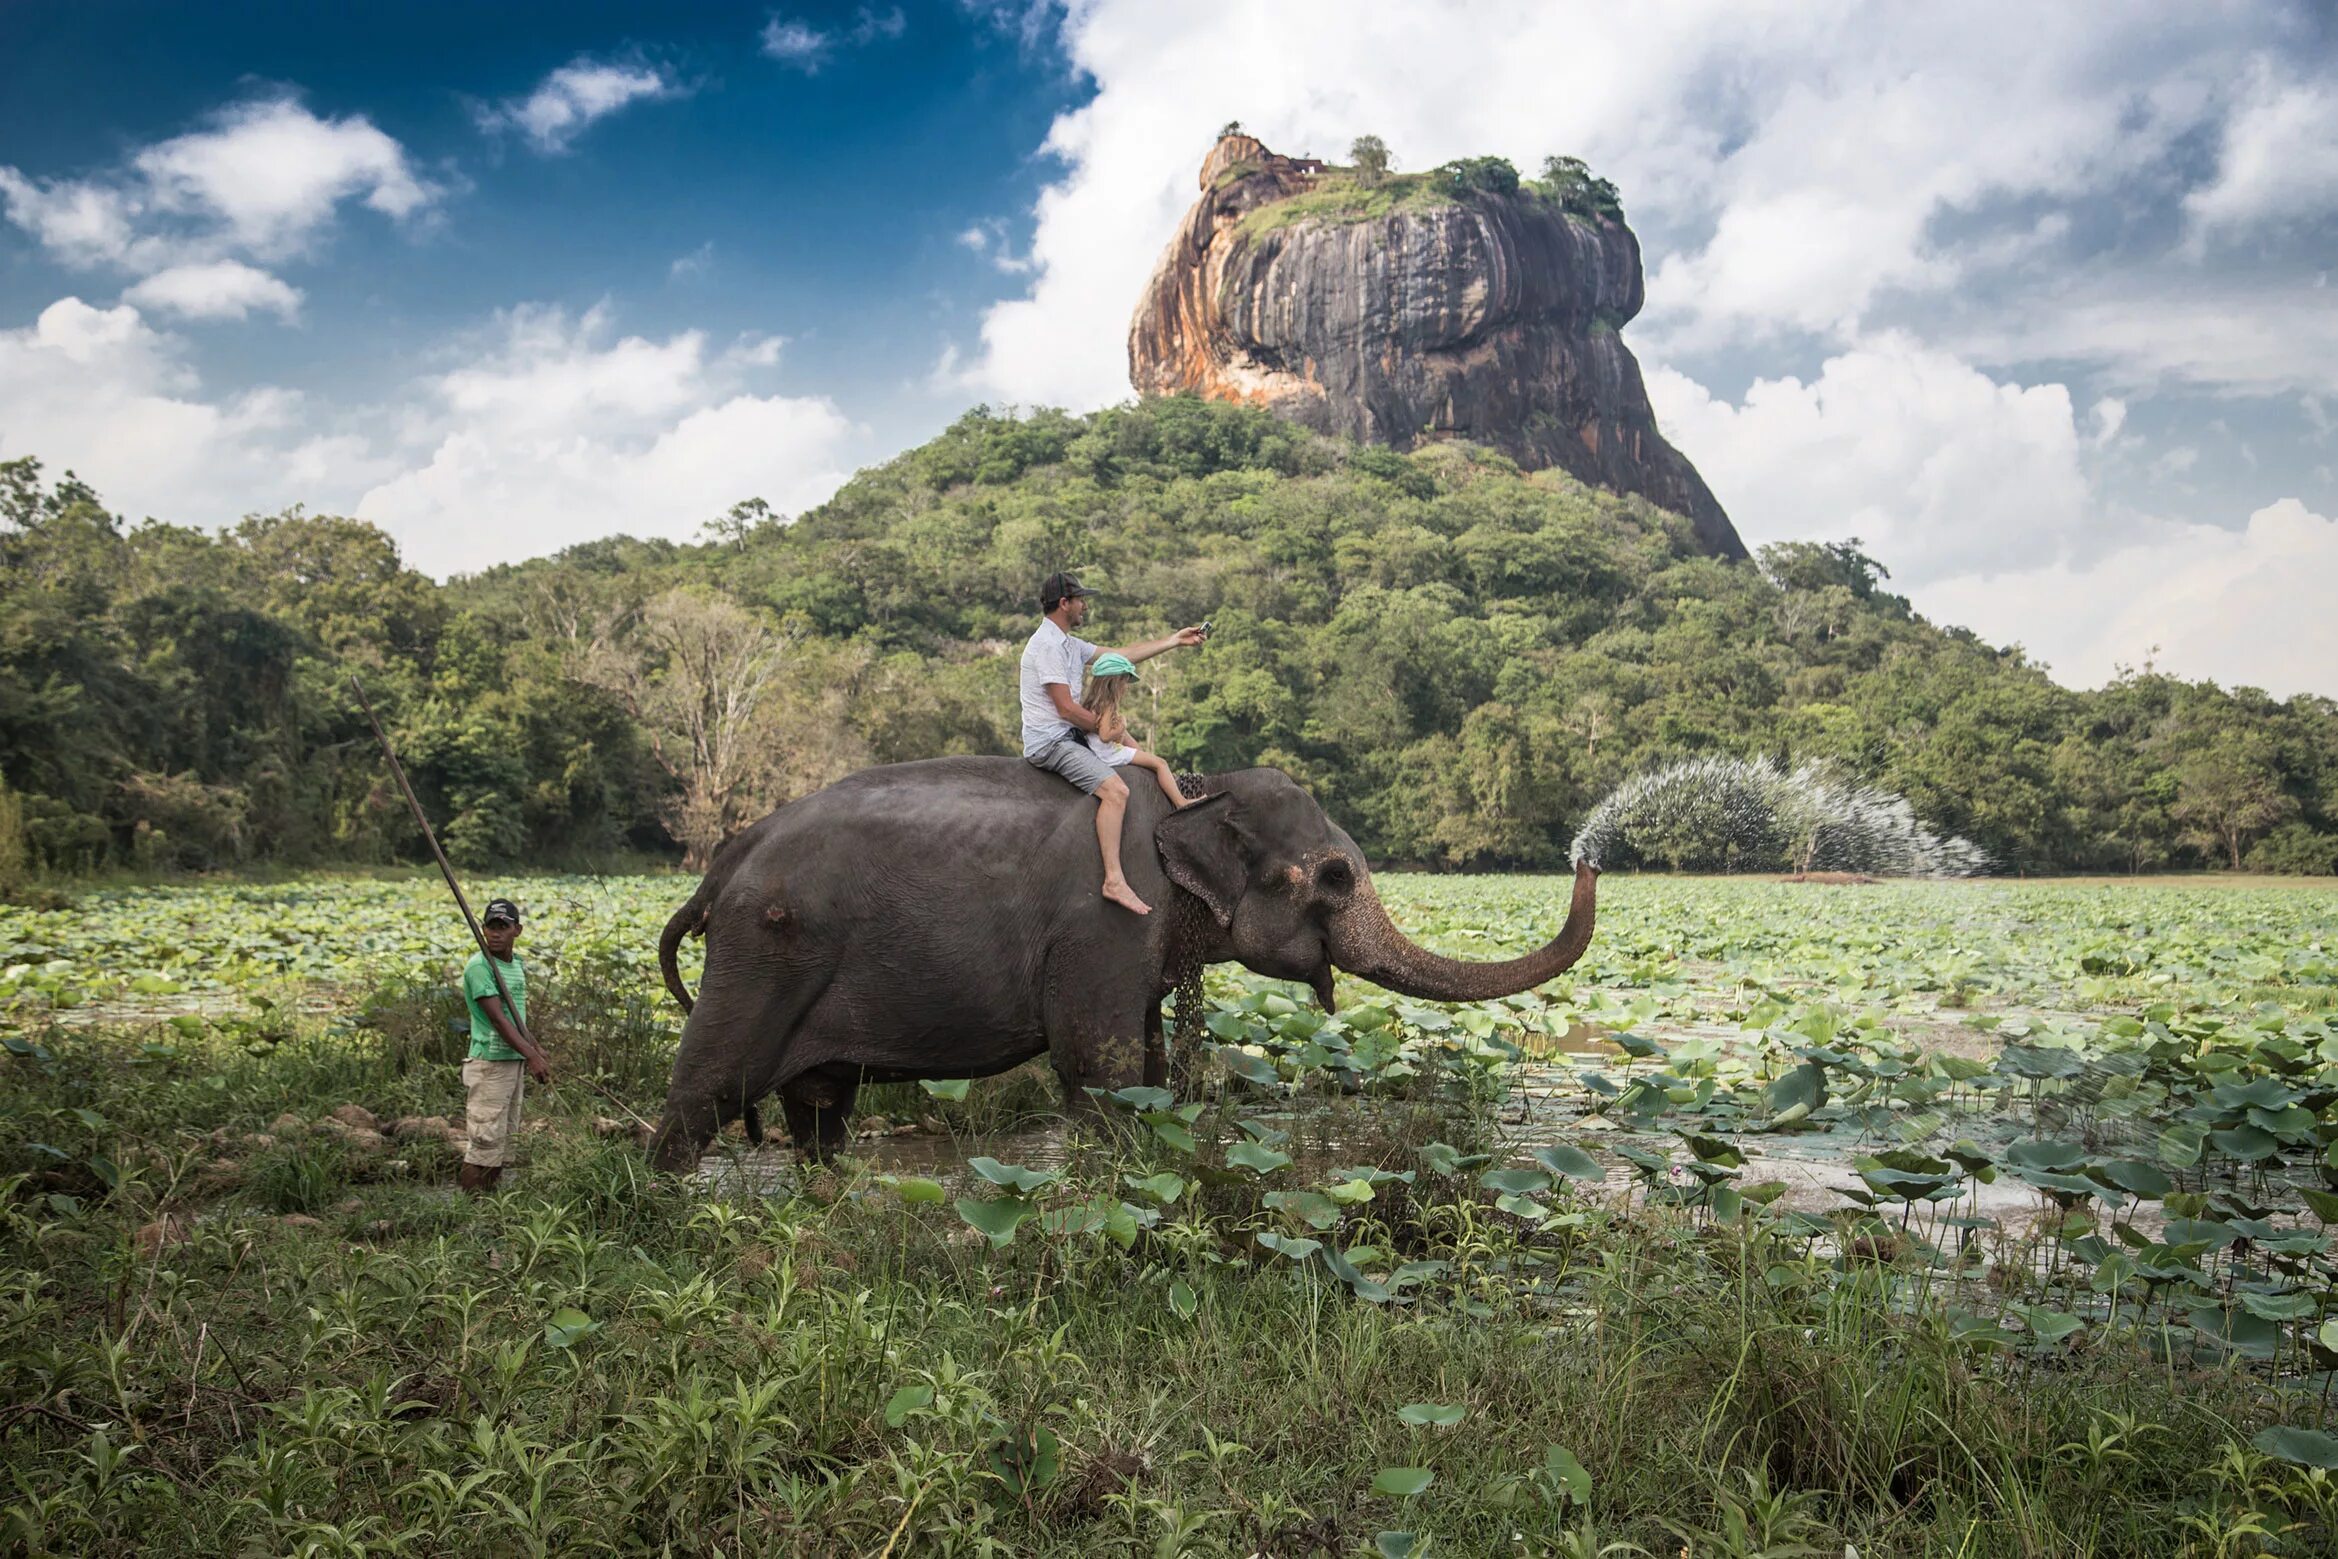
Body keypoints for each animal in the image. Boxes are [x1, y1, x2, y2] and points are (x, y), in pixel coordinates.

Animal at [640, 757, 1599, 1168]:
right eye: (1332, 876)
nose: (1589, 855)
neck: (1194, 794)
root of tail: (723, 861)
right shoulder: (1105, 920)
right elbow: (1097, 1068)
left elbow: (1144, 1064)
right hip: (762, 953)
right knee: (705, 1090)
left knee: (818, 1110)